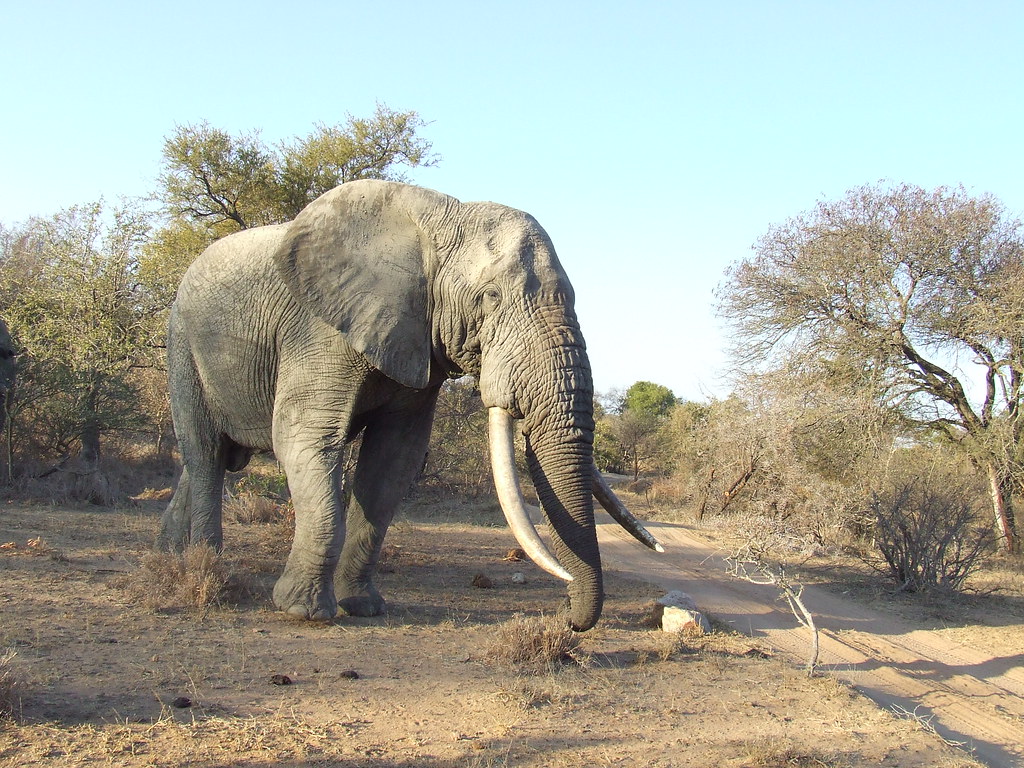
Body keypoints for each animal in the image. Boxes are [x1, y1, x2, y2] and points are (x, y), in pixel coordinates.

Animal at [158, 180, 661, 631]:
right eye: (490, 297)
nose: (565, 618)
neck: (437, 223)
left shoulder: (417, 338)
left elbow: (393, 460)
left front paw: (363, 607)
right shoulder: (318, 330)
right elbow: (305, 439)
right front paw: (304, 612)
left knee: (210, 461)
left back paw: (170, 553)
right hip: (182, 342)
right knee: (204, 454)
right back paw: (205, 566)